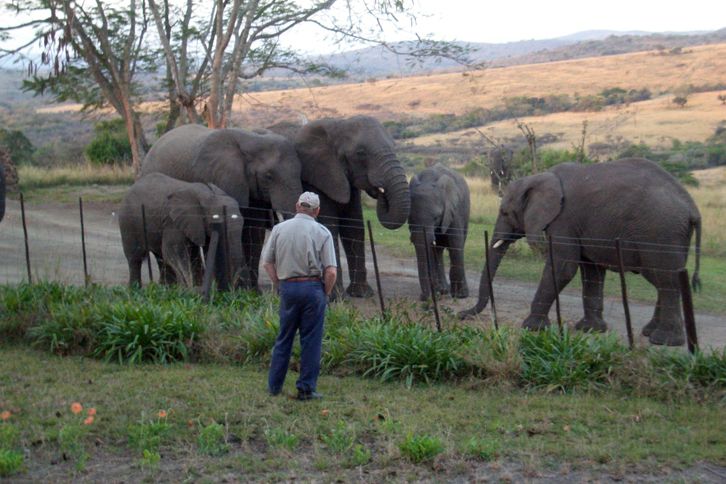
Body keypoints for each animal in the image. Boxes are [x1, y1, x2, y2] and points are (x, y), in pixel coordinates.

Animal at [118, 173, 246, 290]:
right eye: (218, 223)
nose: (233, 288)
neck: (208, 195)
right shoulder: (172, 221)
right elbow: (173, 250)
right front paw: (187, 287)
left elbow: (206, 252)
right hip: (128, 220)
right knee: (135, 257)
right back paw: (135, 289)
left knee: (160, 257)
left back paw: (165, 288)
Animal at [142, 125, 304, 292]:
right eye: (269, 176)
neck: (252, 140)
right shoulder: (217, 178)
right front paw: (236, 289)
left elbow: (254, 230)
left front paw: (253, 292)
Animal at [270, 116, 412, 298]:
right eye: (360, 153)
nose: (380, 191)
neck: (337, 126)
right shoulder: (317, 177)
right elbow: (330, 226)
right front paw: (335, 297)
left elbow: (354, 227)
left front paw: (362, 294)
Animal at [410, 164, 472, 300]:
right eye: (410, 218)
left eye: (436, 217)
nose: (423, 297)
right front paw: (437, 292)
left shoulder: (454, 210)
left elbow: (455, 244)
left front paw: (460, 295)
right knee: (437, 250)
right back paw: (442, 290)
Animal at [460, 160, 704, 348]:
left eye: (504, 212)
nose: (461, 315)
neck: (538, 177)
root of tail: (692, 208)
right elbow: (591, 271)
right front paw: (591, 330)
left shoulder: (563, 221)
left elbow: (564, 268)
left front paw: (531, 328)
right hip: (673, 235)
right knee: (666, 279)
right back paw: (650, 332)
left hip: (661, 233)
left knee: (665, 279)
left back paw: (664, 341)